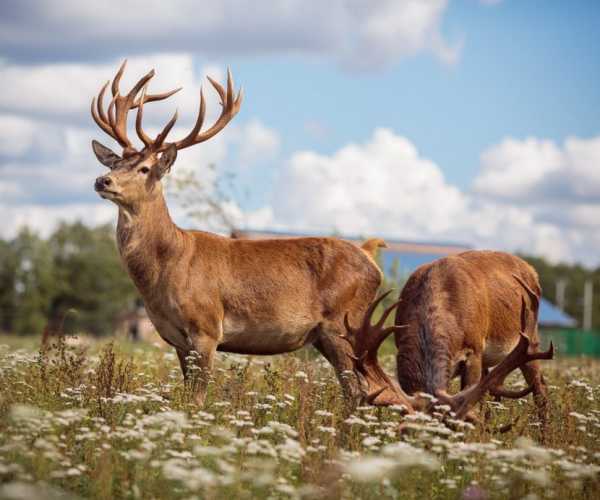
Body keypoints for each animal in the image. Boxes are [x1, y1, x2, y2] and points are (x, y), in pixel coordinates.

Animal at [92, 61, 384, 406]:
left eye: (145, 169)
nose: (103, 180)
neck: (169, 265)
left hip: (343, 323)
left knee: (358, 390)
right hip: (328, 335)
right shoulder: (175, 338)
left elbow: (197, 398)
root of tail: (371, 258)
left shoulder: (206, 327)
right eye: (115, 163)